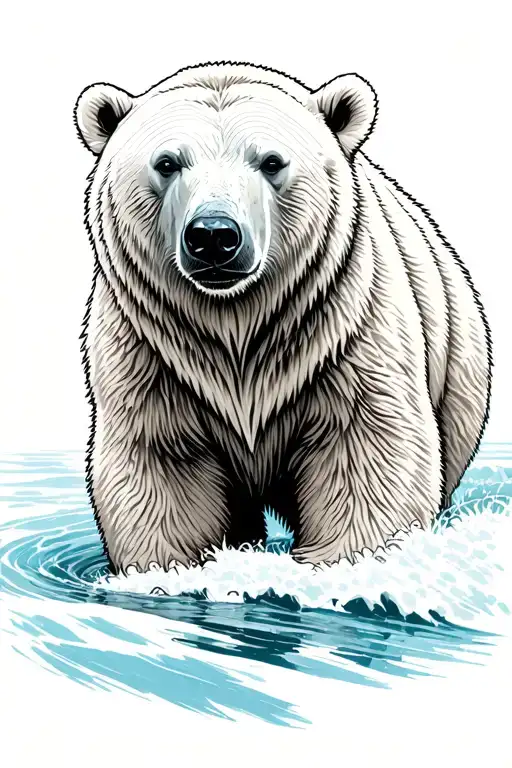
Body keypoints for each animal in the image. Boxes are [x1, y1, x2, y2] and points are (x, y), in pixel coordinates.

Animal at [74, 62, 492, 575]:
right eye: (167, 162)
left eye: (271, 161)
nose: (213, 236)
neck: (238, 321)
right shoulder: (154, 352)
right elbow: (165, 462)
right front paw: (175, 569)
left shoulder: (345, 329)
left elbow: (367, 445)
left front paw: (348, 563)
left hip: (455, 366)